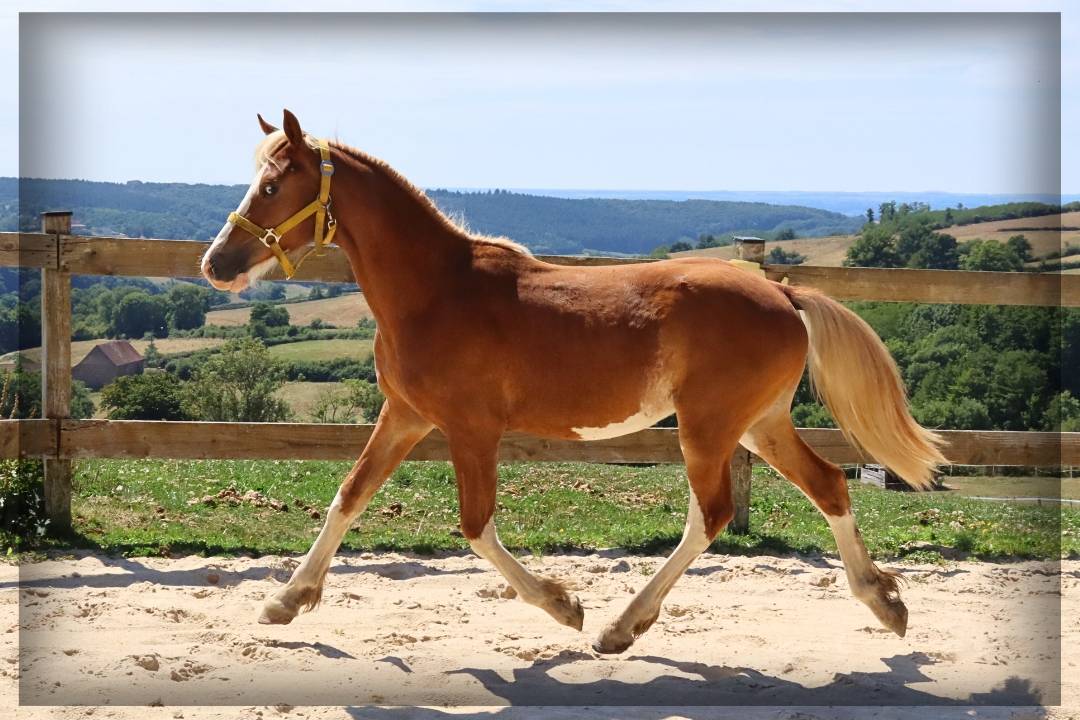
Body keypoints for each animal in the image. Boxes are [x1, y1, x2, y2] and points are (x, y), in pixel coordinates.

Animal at [200, 109, 946, 654]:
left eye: (273, 186)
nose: (216, 264)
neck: (436, 292)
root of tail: (784, 294)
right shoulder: (404, 416)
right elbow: (348, 497)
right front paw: (284, 601)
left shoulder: (471, 429)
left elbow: (476, 528)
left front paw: (565, 606)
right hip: (758, 424)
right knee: (825, 485)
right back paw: (884, 602)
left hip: (709, 427)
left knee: (712, 515)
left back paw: (620, 627)